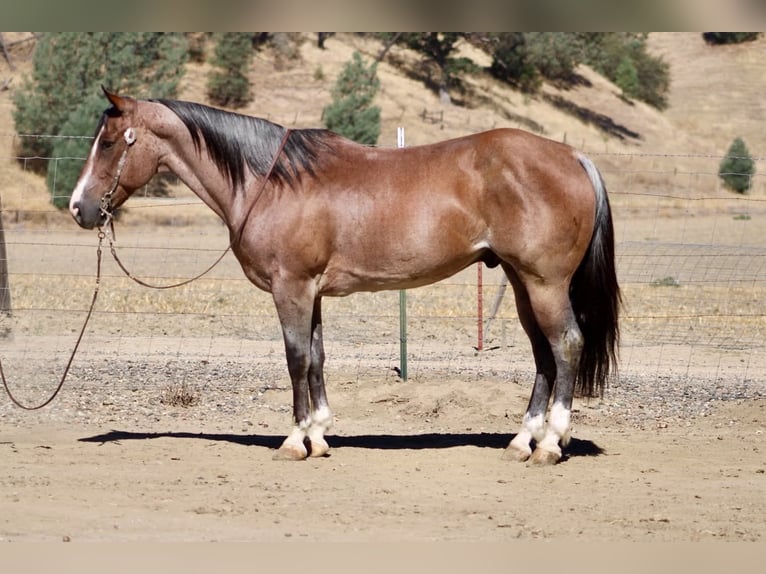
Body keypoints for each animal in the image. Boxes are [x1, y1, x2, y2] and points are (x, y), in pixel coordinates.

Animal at [69, 88, 620, 465]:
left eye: (110, 142)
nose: (79, 208)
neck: (271, 182)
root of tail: (572, 155)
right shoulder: (310, 292)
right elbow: (315, 357)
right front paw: (319, 434)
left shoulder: (290, 287)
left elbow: (295, 358)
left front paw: (295, 441)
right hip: (521, 282)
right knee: (543, 355)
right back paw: (523, 441)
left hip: (544, 283)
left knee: (566, 345)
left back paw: (550, 445)